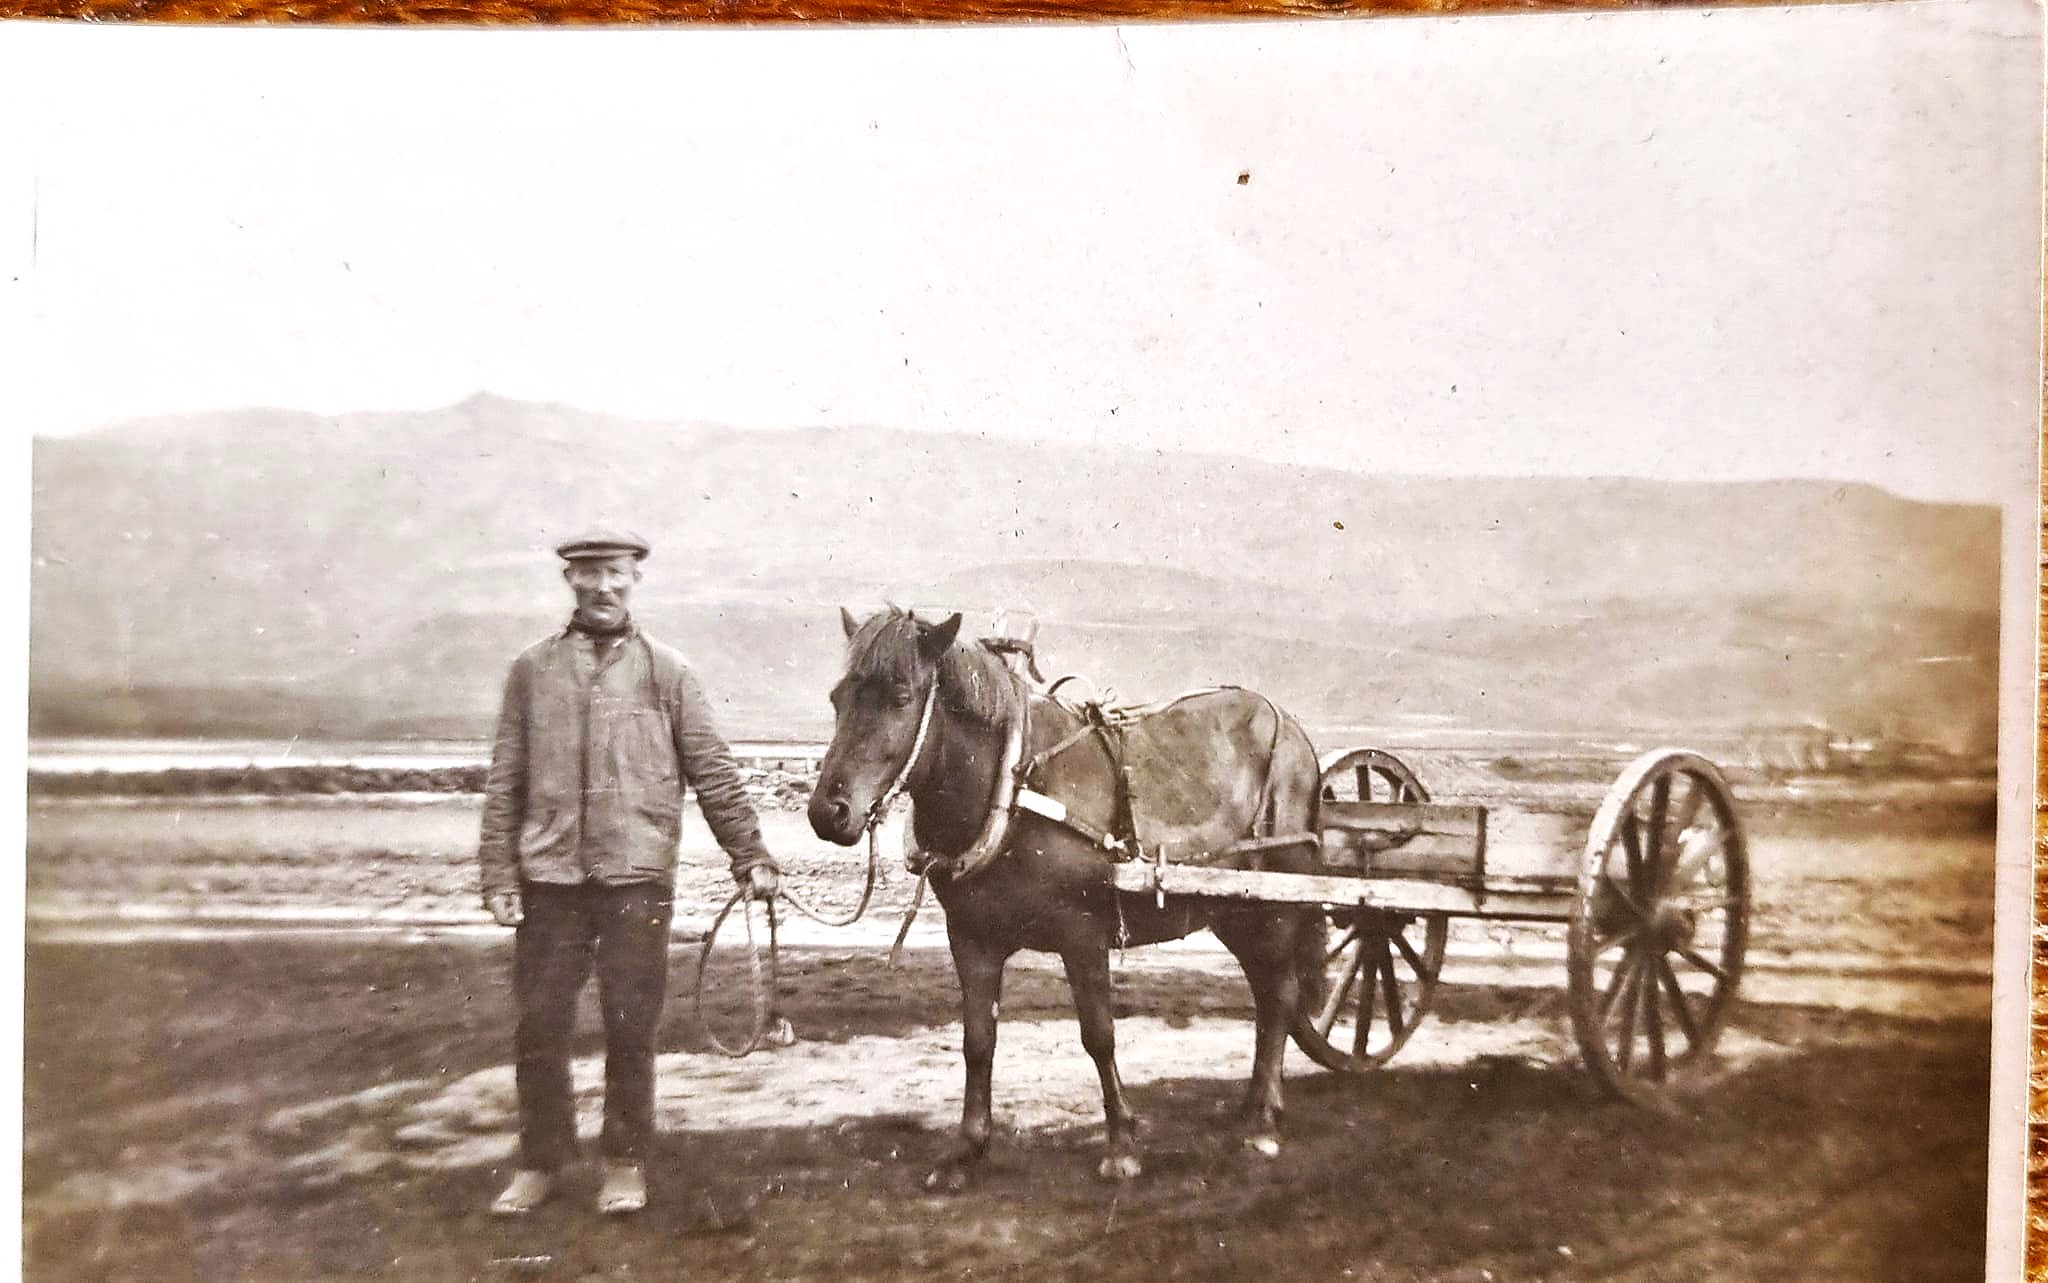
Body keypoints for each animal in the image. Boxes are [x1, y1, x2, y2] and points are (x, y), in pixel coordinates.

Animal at [806, 606, 1326, 1188]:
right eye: (838, 698)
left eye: (900, 696)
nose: (828, 813)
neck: (1010, 791)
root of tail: (1294, 731)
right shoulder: (971, 939)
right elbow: (977, 1040)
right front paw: (966, 1148)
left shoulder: (1083, 937)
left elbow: (1099, 1036)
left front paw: (1122, 1145)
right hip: (1235, 911)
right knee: (1267, 995)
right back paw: (1258, 1105)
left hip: (1275, 905)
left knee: (1280, 996)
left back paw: (1261, 1123)